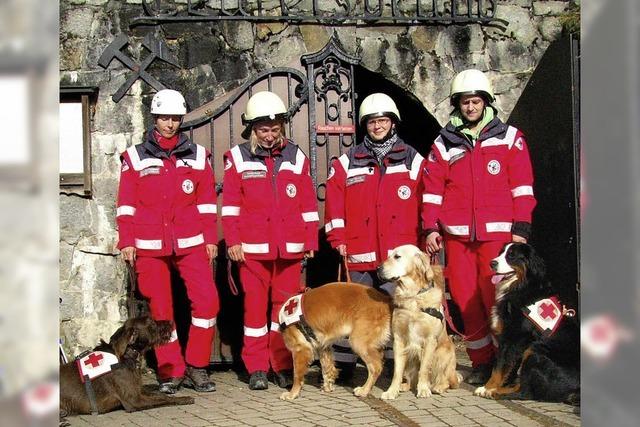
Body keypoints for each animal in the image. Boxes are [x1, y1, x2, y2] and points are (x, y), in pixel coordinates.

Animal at [60, 318, 195, 414]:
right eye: (151, 323)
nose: (171, 322)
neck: (127, 355)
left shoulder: (137, 390)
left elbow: (155, 392)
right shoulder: (134, 400)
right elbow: (164, 398)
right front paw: (184, 399)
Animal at [472, 242, 584, 406]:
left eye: (511, 255)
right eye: (501, 253)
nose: (492, 263)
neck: (522, 286)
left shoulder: (513, 338)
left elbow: (499, 366)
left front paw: (487, 388)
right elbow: (509, 367)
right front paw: (499, 384)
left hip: (535, 351)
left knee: (526, 393)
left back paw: (495, 392)